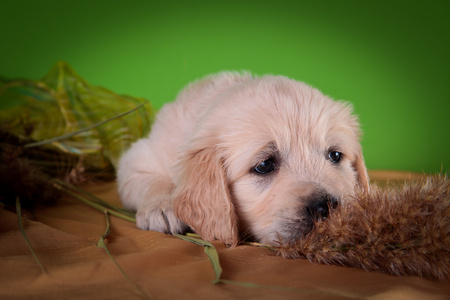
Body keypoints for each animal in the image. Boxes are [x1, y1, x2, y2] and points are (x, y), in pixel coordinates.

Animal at [117, 72, 370, 246]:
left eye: (335, 155)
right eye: (265, 165)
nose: (326, 207)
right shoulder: (138, 159)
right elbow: (152, 180)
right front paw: (161, 207)